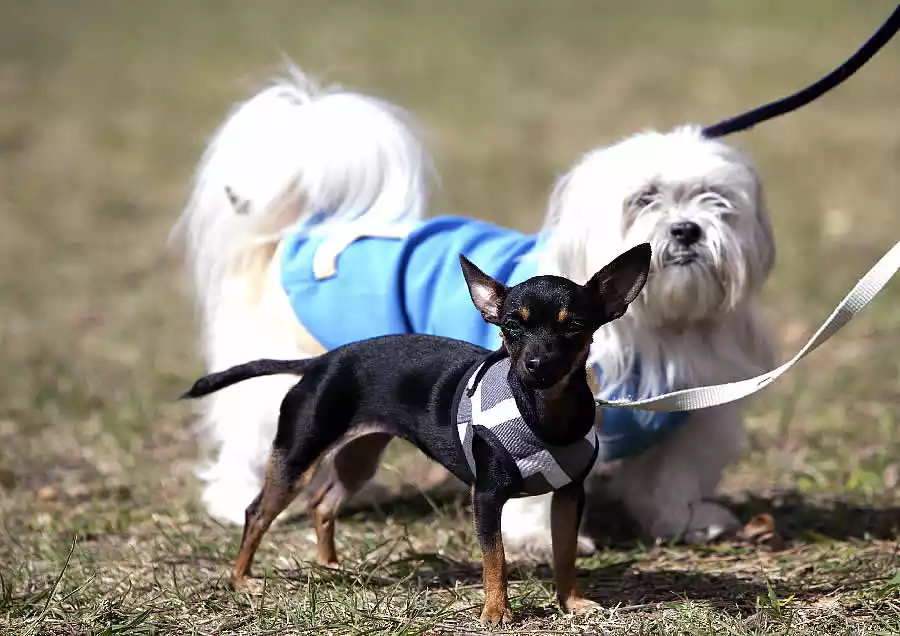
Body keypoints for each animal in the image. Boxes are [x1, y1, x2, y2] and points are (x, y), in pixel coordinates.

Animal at [174, 68, 772, 548]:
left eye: (717, 200)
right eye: (645, 198)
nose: (687, 230)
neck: (662, 330)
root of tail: (305, 228)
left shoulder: (694, 418)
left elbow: (673, 478)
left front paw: (687, 521)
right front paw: (539, 539)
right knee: (253, 441)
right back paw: (232, 500)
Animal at [183, 243, 652, 628]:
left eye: (573, 326)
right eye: (511, 328)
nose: (536, 363)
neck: (540, 411)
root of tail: (320, 362)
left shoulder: (570, 495)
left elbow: (565, 552)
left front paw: (571, 602)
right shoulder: (486, 498)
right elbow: (495, 559)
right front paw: (496, 612)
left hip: (359, 457)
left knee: (323, 503)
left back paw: (330, 566)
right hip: (298, 455)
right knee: (257, 512)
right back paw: (241, 579)